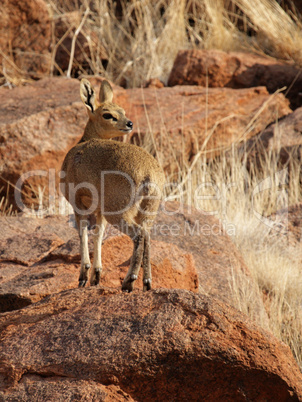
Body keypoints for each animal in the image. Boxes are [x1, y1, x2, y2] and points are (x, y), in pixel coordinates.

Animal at [60, 79, 165, 292]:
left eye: (122, 111)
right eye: (108, 114)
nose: (129, 123)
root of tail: (149, 174)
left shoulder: (78, 204)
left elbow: (83, 233)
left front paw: (84, 277)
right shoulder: (99, 210)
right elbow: (99, 235)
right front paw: (96, 277)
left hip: (118, 212)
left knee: (138, 235)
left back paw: (129, 281)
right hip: (147, 211)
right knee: (147, 235)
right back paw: (147, 283)